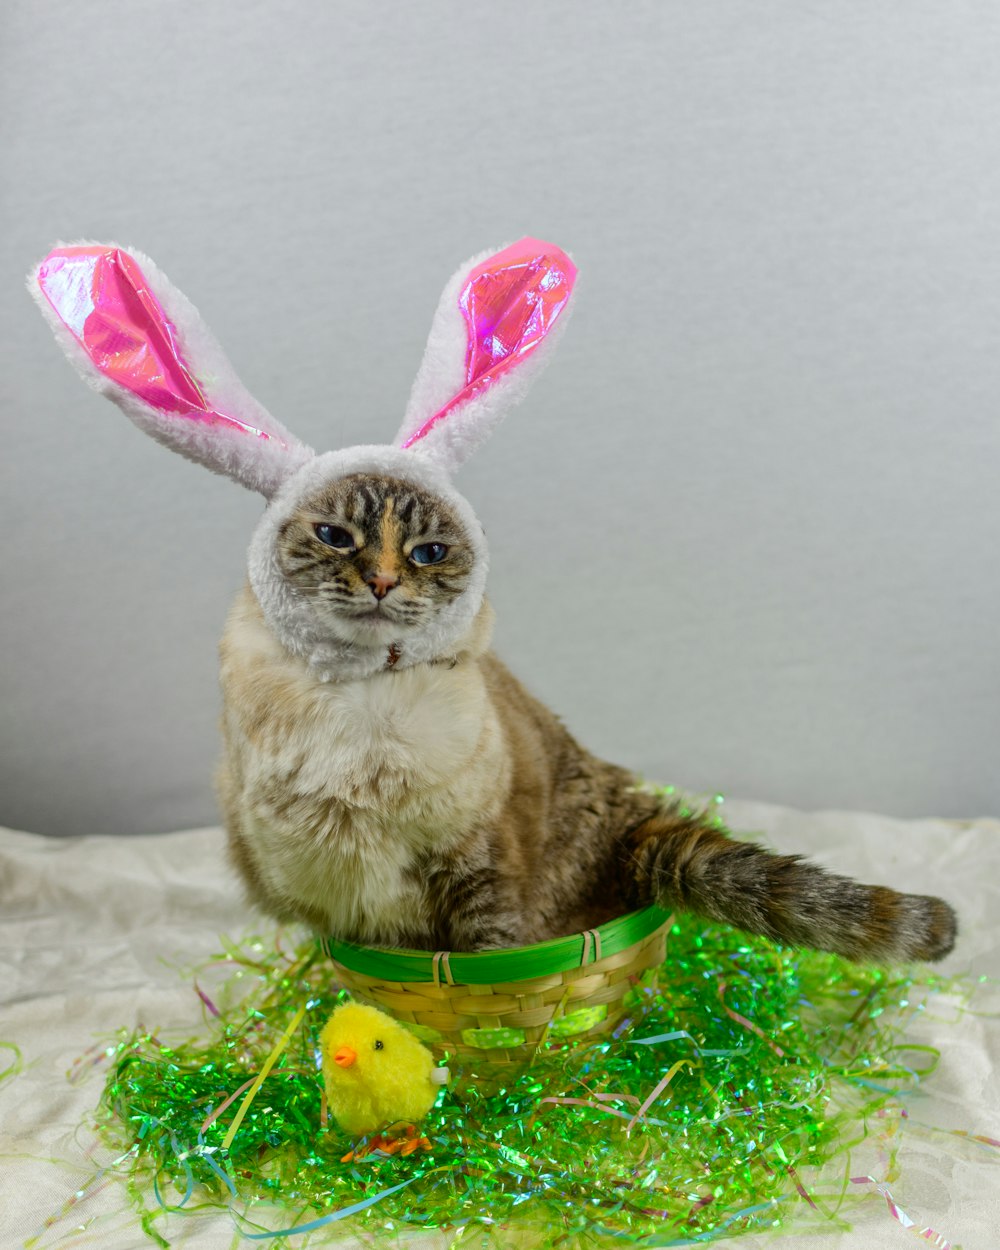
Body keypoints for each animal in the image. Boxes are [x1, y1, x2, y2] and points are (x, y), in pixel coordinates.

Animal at [221, 472, 960, 960]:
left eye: (428, 552)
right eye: (335, 537)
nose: (380, 581)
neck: (364, 708)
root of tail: (627, 810)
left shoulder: (478, 867)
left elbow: (488, 958)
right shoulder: (344, 905)